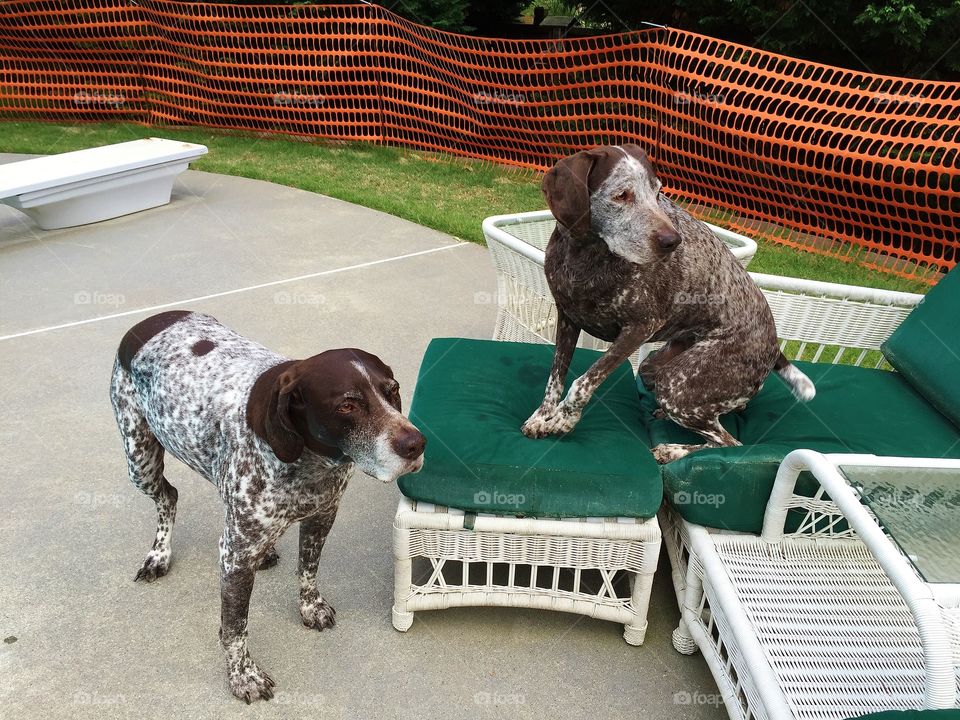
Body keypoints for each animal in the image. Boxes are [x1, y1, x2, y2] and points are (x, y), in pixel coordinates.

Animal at [109, 310, 424, 704]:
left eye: (392, 390)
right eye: (347, 405)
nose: (417, 444)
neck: (307, 462)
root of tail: (151, 320)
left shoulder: (323, 514)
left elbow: (308, 571)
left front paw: (309, 607)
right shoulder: (236, 557)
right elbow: (235, 627)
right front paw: (243, 676)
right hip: (140, 461)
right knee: (168, 496)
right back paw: (159, 555)